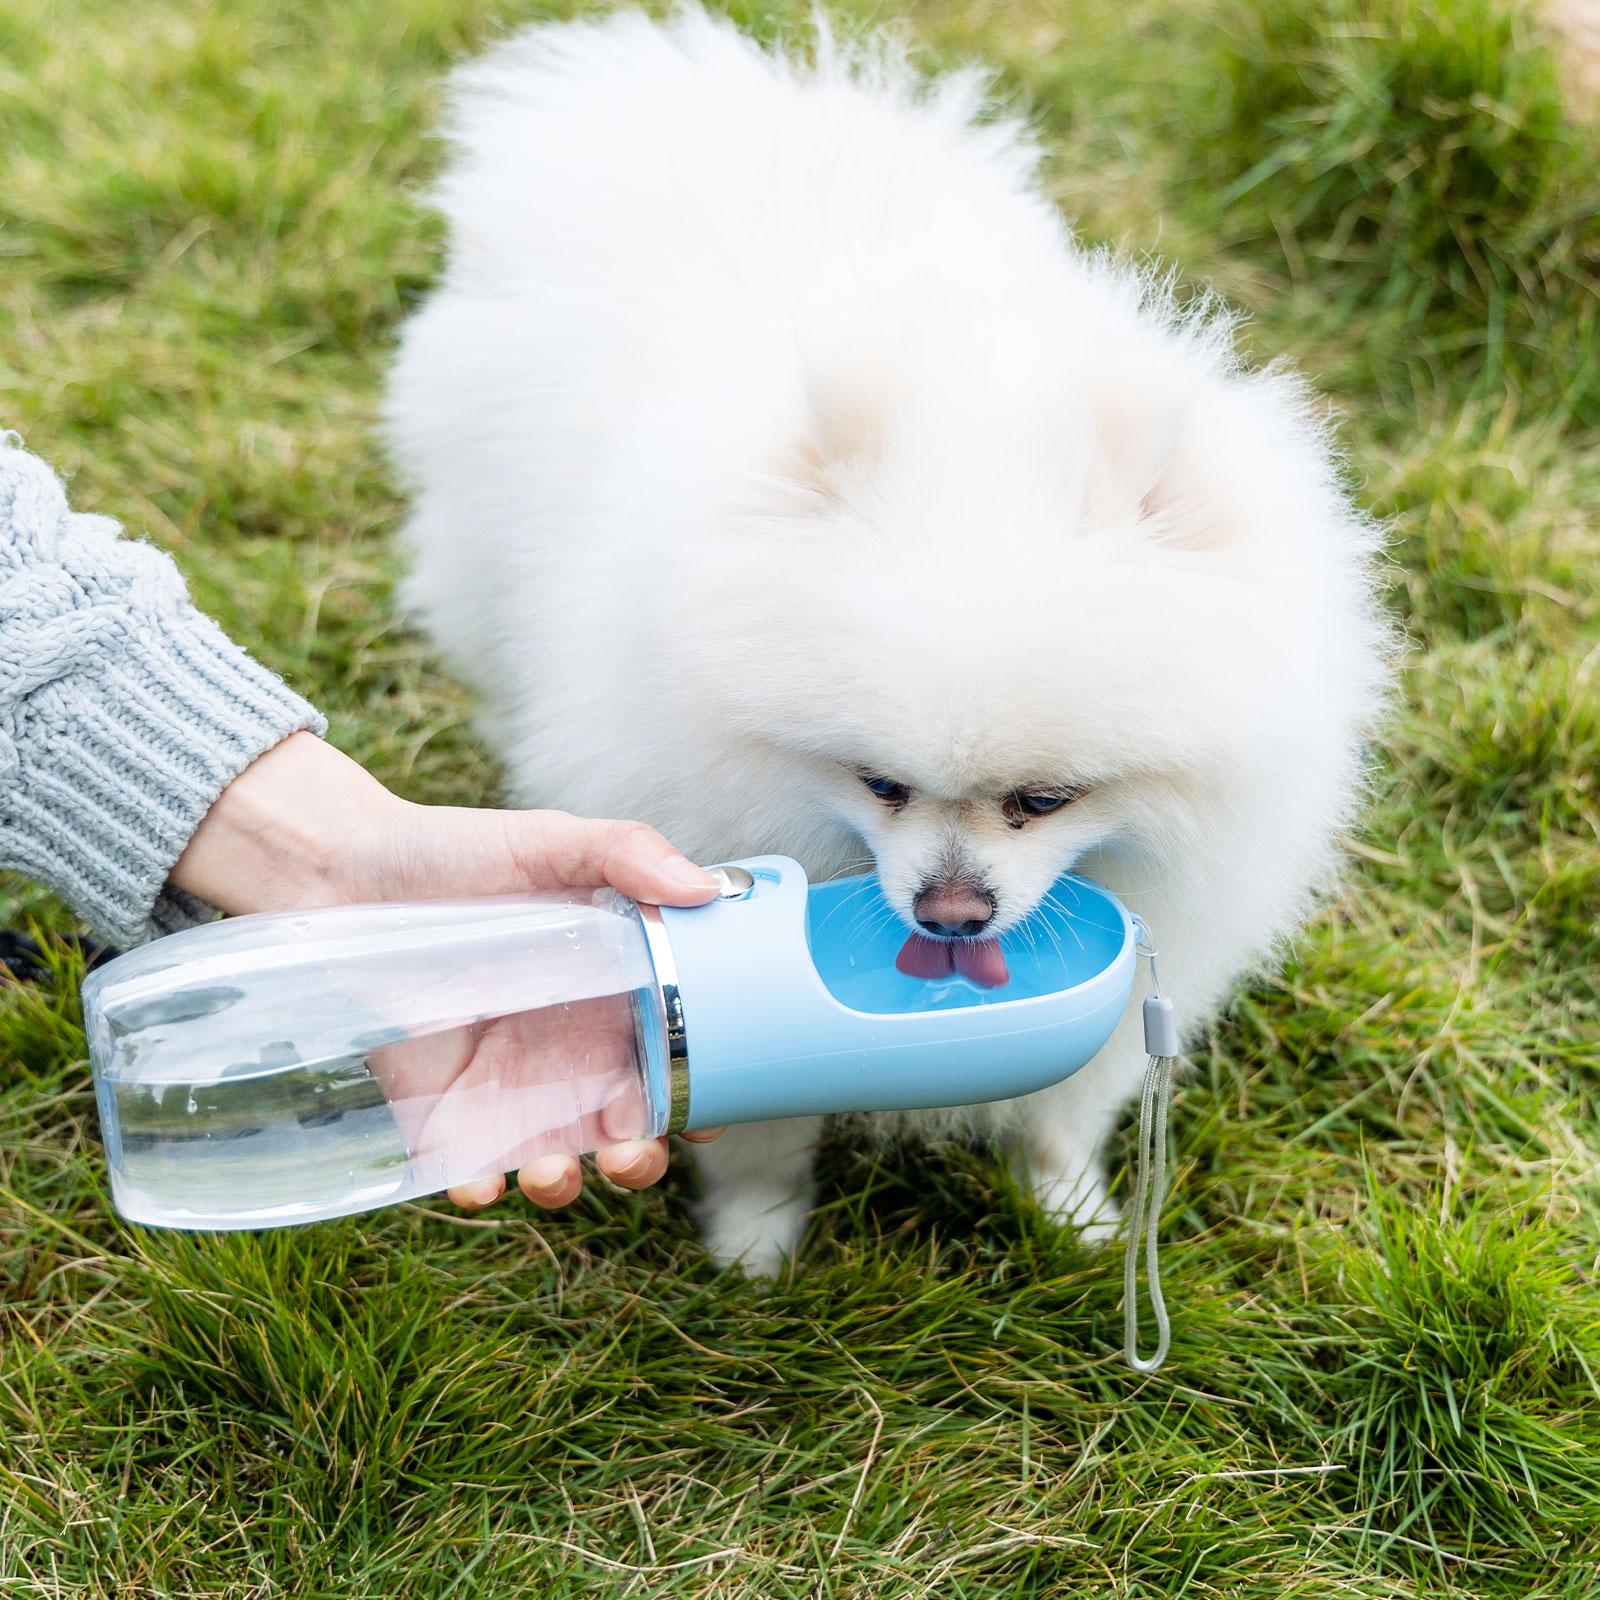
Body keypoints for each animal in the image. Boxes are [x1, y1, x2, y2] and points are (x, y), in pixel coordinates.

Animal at [384, 3, 1388, 1273]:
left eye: (1046, 799)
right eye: (878, 782)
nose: (951, 913)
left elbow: (1063, 1110)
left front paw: (1071, 1220)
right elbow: (762, 1130)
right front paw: (755, 1251)